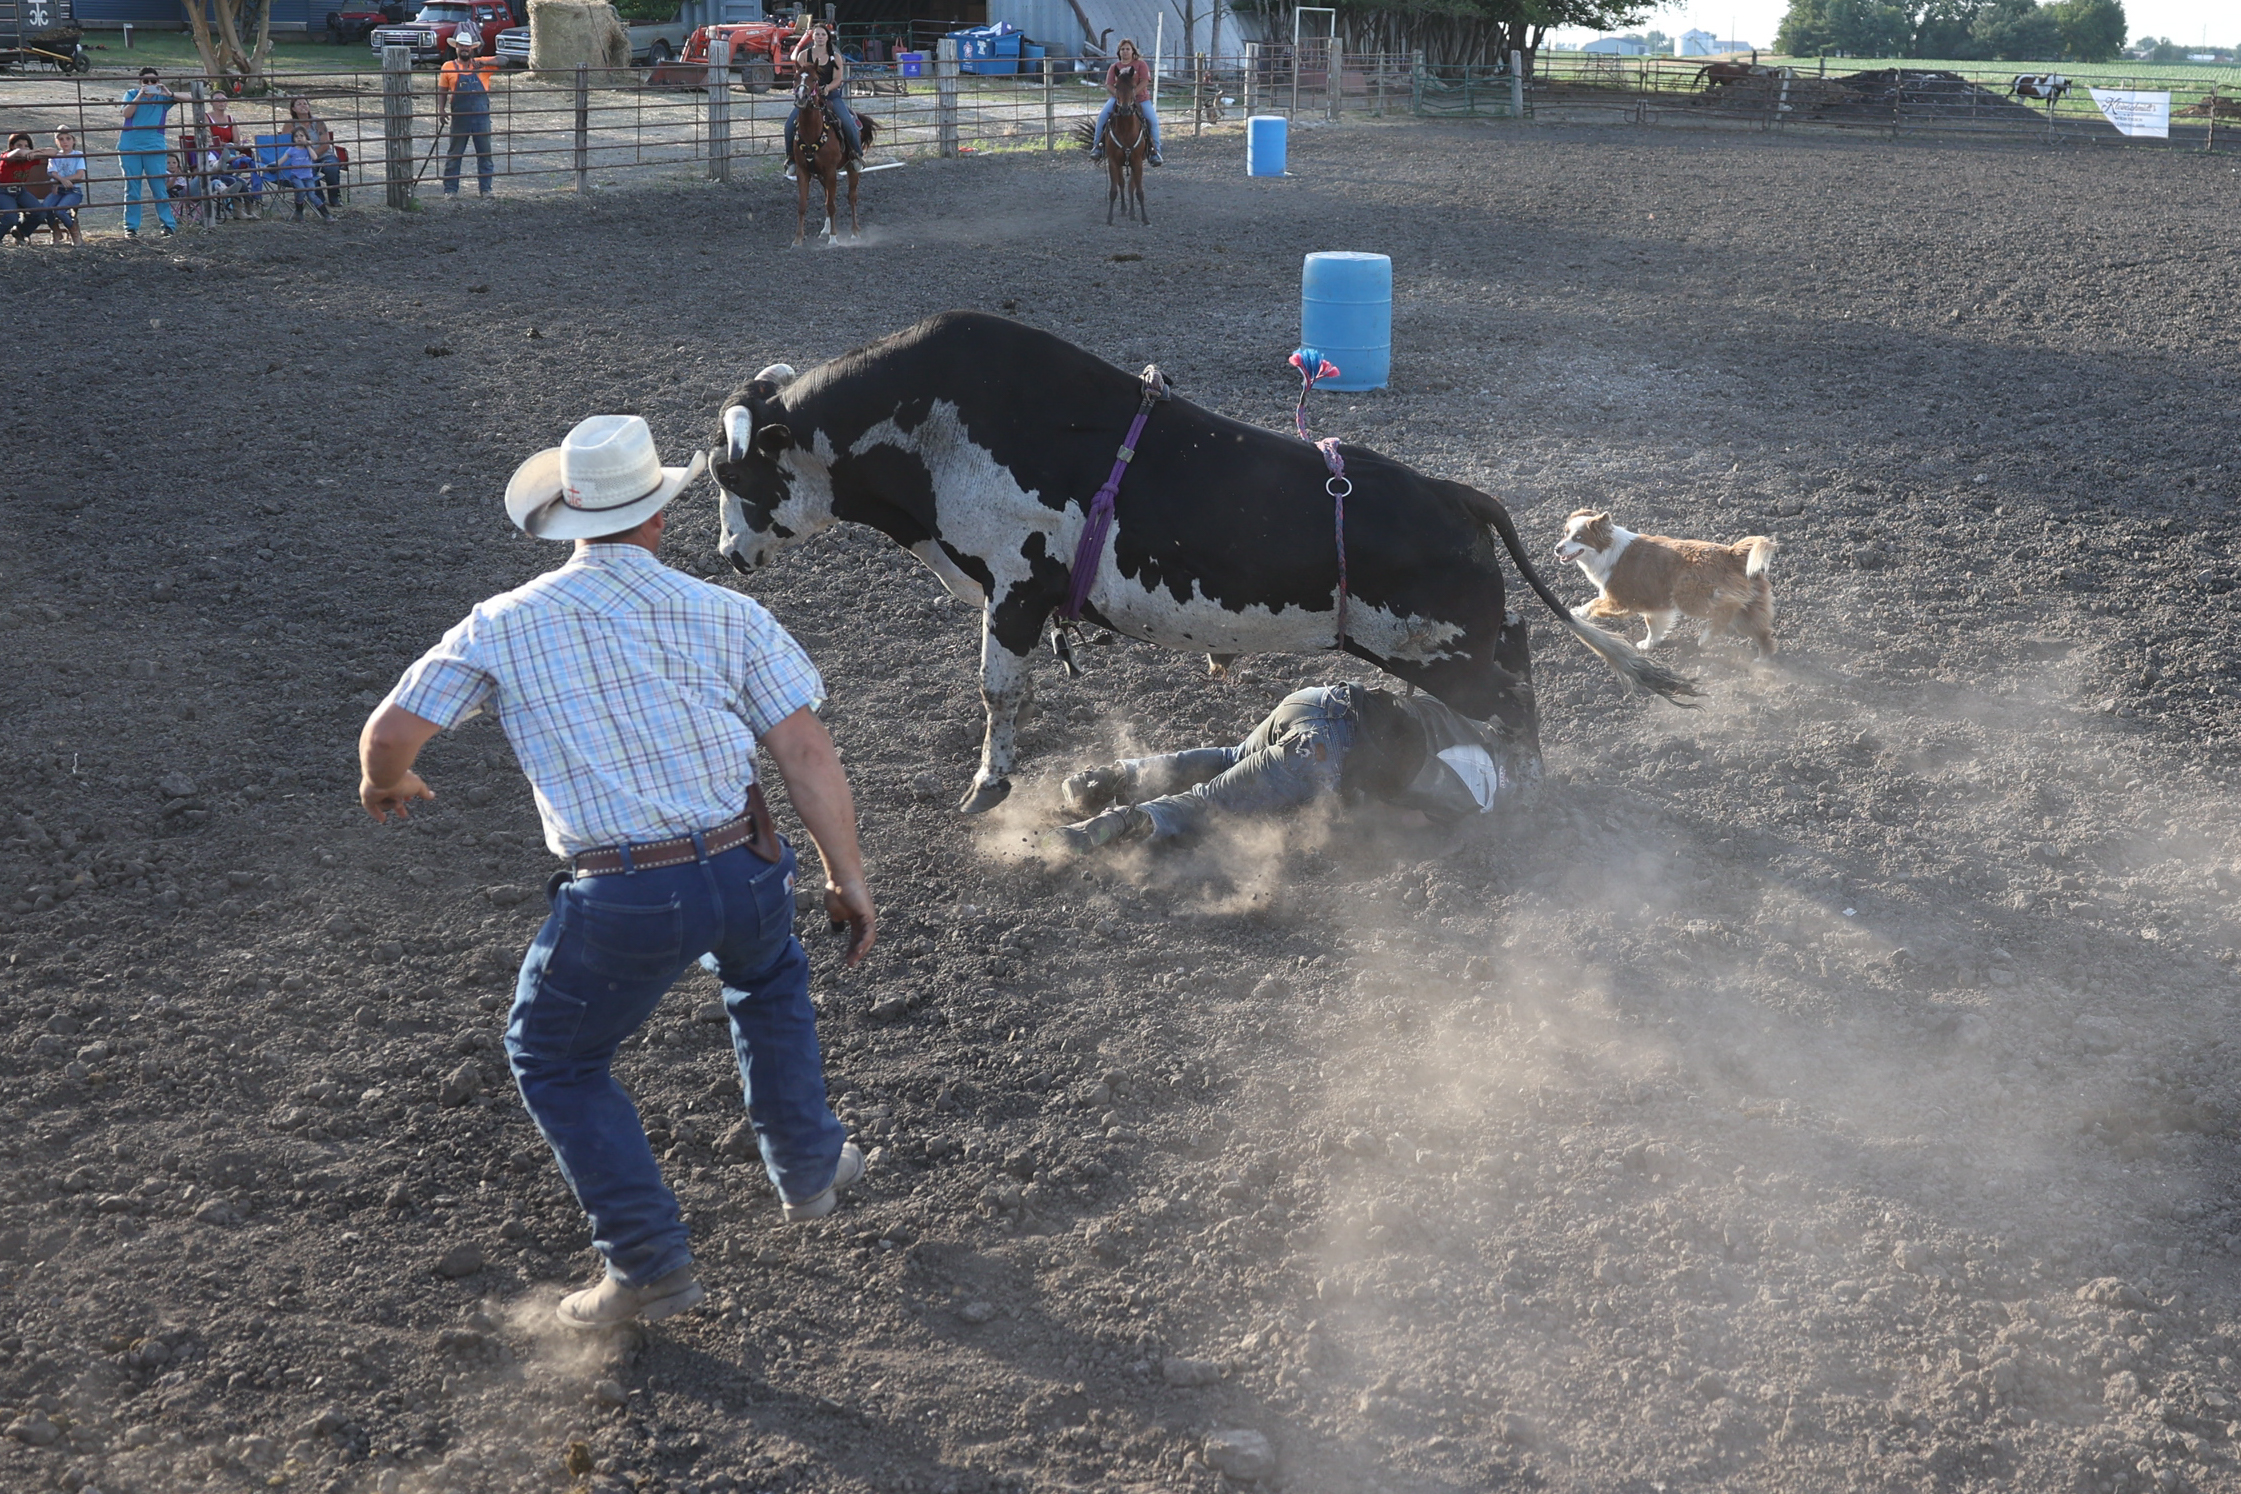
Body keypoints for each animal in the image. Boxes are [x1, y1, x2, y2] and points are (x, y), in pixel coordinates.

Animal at [710, 312, 1699, 813]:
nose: (727, 553)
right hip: (1452, 643)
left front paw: (988, 782)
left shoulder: (1016, 591)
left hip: (1439, 653)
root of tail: (1454, 494)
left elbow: (998, 693)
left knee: (1512, 692)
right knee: (1522, 647)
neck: (931, 419)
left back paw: (1524, 785)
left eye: (733, 473)